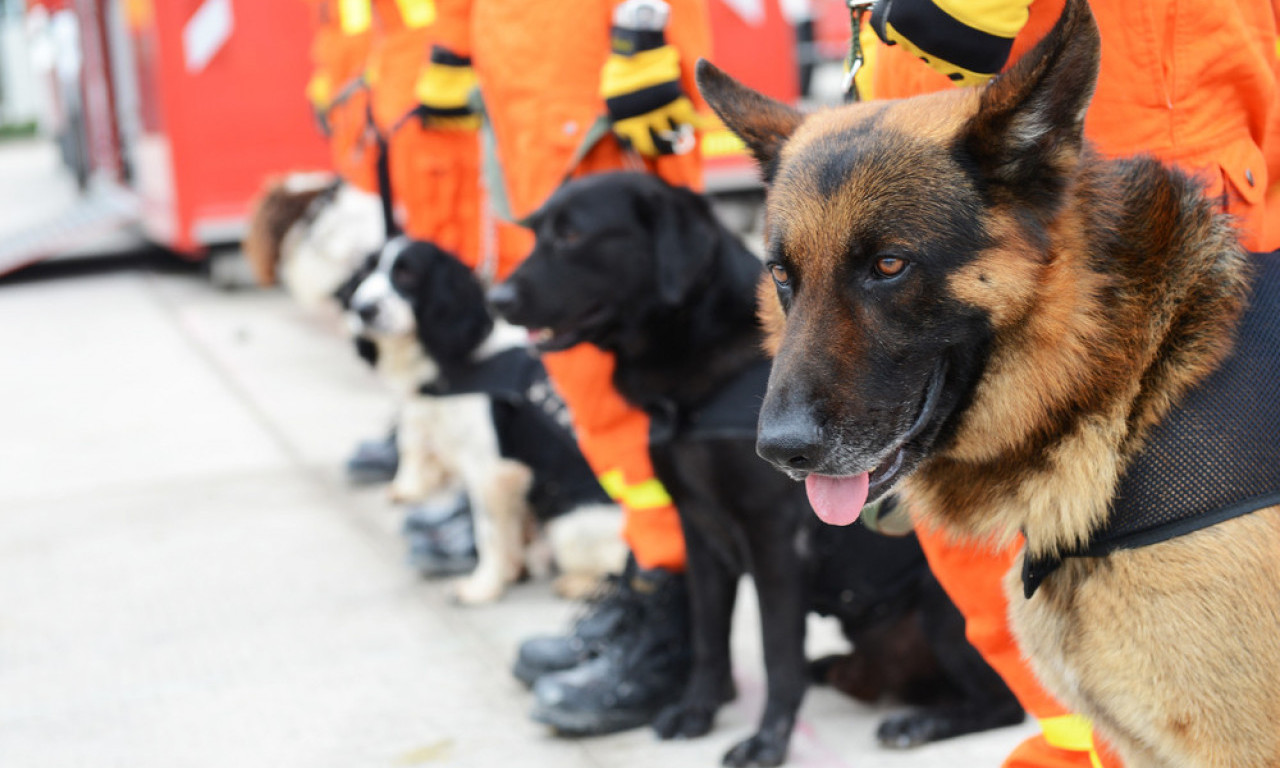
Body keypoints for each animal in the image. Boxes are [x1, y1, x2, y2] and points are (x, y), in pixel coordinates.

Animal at [335, 236, 624, 604]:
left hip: (572, 525)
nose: (362, 309)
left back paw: (581, 584)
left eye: (407, 274)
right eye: (366, 272)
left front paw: (483, 587)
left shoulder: (490, 471)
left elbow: (489, 534)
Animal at [486, 174, 1018, 768]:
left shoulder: (774, 540)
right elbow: (708, 636)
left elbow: (776, 654)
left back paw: (921, 722)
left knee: (1007, 703)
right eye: (536, 232)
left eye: (572, 235)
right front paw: (697, 711)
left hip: (943, 612)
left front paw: (767, 742)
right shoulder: (699, 533)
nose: (495, 299)